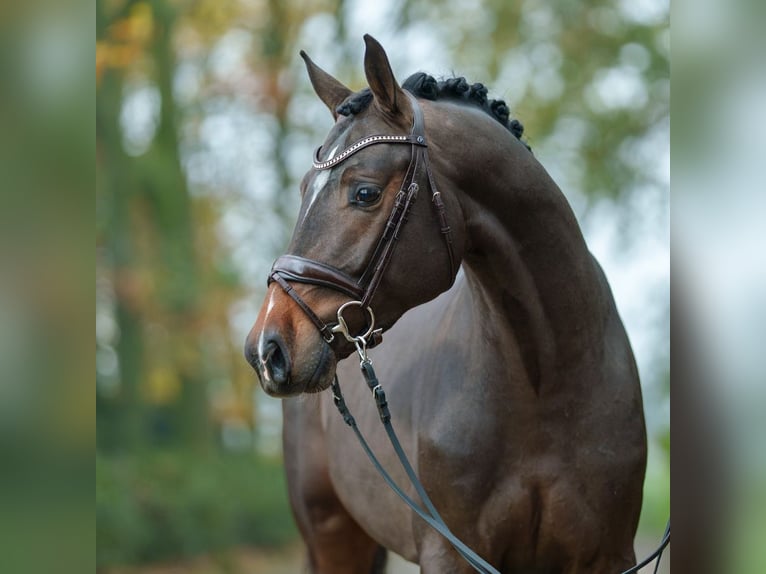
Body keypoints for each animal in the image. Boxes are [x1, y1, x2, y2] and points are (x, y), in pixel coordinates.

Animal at [246, 37, 648, 574]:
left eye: (365, 192)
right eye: (303, 190)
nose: (266, 349)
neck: (544, 389)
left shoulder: (609, 555)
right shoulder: (450, 552)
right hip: (332, 538)